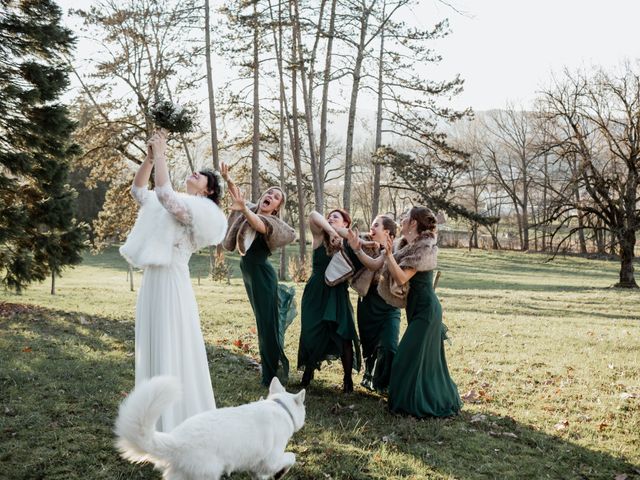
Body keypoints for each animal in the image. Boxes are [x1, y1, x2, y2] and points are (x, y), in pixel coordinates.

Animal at [115, 376, 304, 478]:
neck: (280, 407)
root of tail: (176, 440)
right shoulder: (271, 461)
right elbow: (291, 457)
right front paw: (281, 473)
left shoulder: (257, 466)